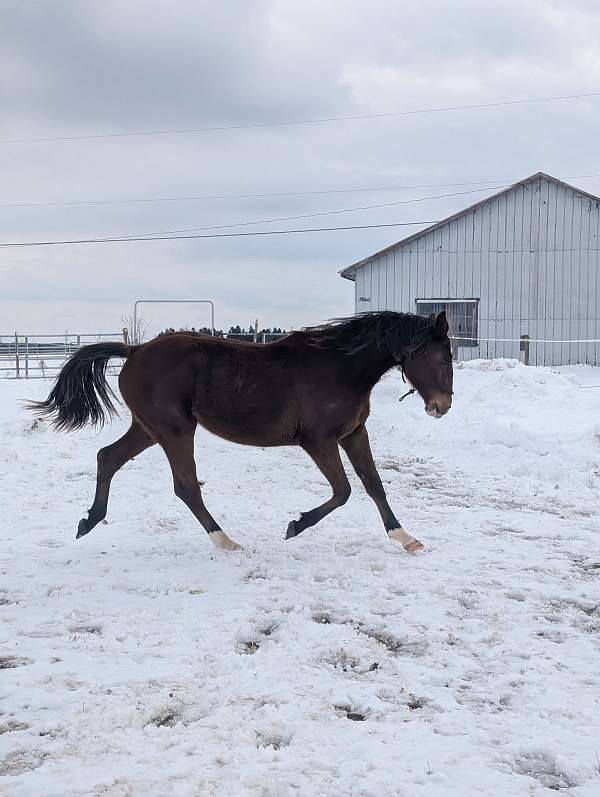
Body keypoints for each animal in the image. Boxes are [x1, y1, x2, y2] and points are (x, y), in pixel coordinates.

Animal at [31, 310, 450, 552]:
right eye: (438, 356)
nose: (441, 406)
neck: (340, 368)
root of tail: (134, 351)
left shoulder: (353, 434)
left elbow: (374, 485)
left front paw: (406, 538)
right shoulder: (319, 441)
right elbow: (344, 491)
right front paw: (295, 526)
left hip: (149, 429)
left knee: (108, 458)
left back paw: (88, 521)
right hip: (175, 430)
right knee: (185, 487)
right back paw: (226, 541)